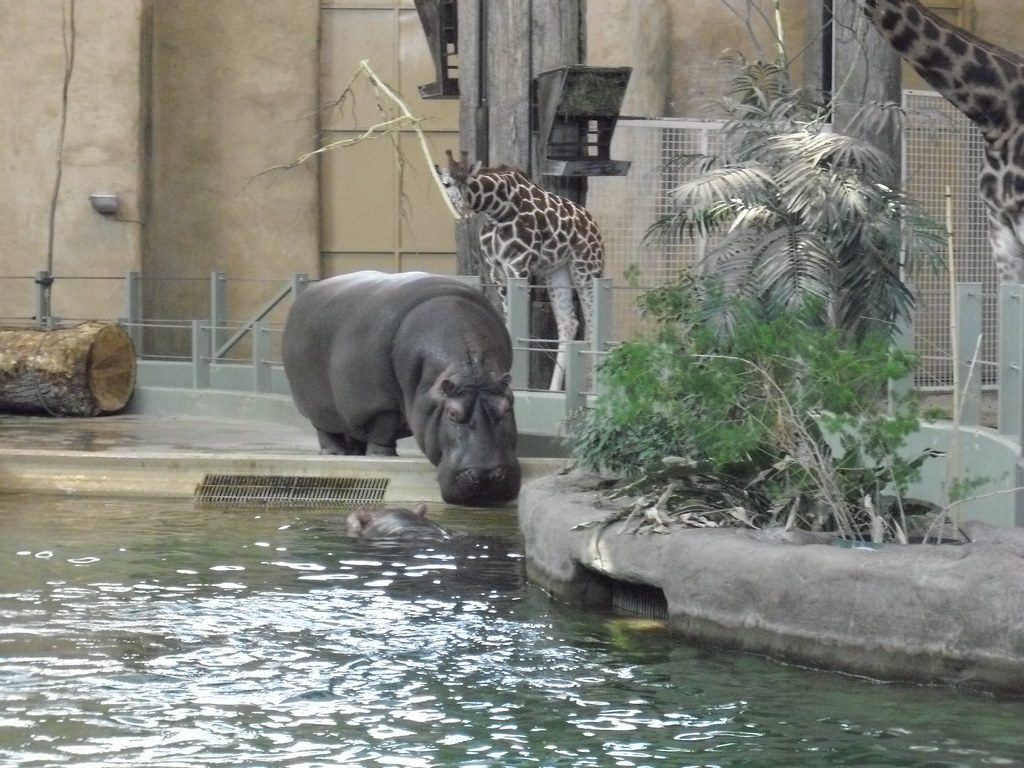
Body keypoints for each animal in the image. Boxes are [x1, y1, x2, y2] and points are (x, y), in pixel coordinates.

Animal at [282, 271, 521, 506]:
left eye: (506, 409)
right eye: (452, 413)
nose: (486, 476)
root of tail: (307, 294)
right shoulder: (378, 404)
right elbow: (384, 427)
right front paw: (382, 457)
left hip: (350, 411)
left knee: (354, 431)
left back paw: (356, 453)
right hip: (319, 405)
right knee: (326, 430)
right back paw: (334, 454)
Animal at [436, 150, 605, 391]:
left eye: (467, 180)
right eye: (446, 183)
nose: (465, 207)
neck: (497, 209)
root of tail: (594, 225)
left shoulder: (518, 265)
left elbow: (519, 325)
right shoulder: (496, 270)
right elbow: (507, 321)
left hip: (586, 266)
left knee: (592, 324)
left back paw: (591, 389)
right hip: (558, 270)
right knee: (569, 323)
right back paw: (554, 390)